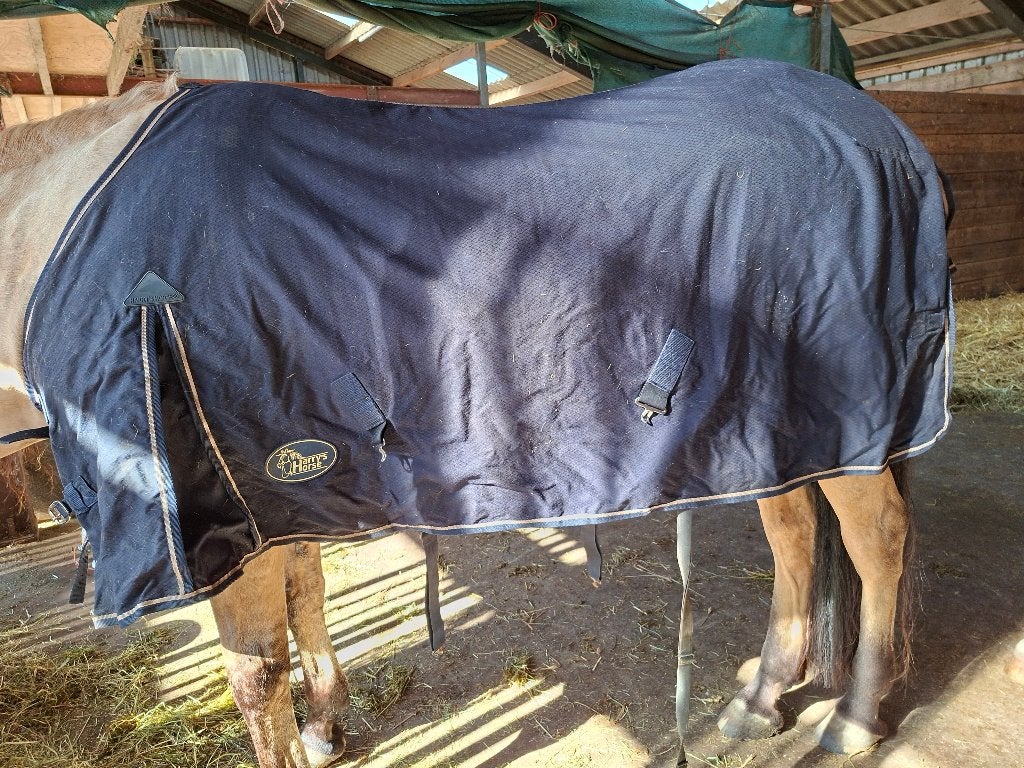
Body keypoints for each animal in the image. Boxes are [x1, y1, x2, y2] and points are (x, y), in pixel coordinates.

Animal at [0, 57, 952, 768]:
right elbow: (306, 599)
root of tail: (888, 133)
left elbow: (252, 677)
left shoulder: (215, 521)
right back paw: (759, 699)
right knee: (794, 535)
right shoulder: (274, 491)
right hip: (773, 428)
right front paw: (326, 725)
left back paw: (855, 716)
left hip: (850, 425)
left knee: (876, 541)